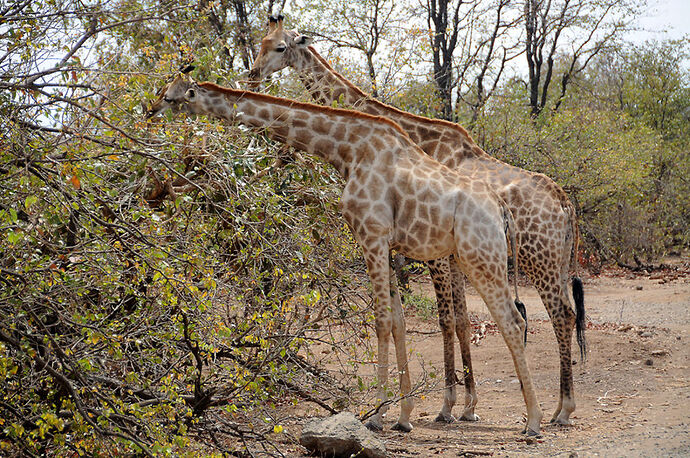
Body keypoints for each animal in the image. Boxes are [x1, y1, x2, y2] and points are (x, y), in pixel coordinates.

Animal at [145, 73, 544, 434]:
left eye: (171, 97)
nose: (149, 112)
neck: (348, 150)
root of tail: (501, 210)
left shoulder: (371, 235)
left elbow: (381, 322)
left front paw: (378, 417)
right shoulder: (386, 244)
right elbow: (398, 322)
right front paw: (403, 416)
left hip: (481, 258)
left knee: (513, 321)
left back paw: (534, 422)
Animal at [250, 16, 584, 428]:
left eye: (280, 47)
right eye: (260, 42)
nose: (253, 73)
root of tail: (565, 204)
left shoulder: (437, 255)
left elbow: (445, 320)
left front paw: (445, 407)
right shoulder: (443, 256)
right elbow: (454, 321)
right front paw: (466, 406)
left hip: (540, 261)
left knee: (561, 315)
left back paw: (562, 411)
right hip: (553, 262)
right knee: (566, 314)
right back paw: (556, 408)